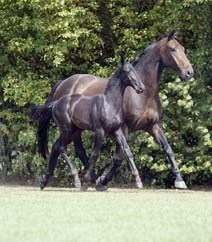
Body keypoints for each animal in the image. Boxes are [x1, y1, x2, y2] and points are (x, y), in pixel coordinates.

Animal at [30, 57, 146, 190]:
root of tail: (55, 103)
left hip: (74, 130)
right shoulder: (100, 131)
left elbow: (127, 151)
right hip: (67, 130)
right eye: (127, 71)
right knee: (62, 148)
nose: (141, 88)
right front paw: (86, 182)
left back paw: (44, 181)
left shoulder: (116, 131)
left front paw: (138, 181)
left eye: (135, 70)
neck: (108, 104)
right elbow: (95, 154)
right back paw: (76, 181)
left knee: (58, 147)